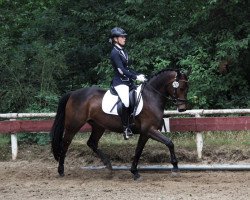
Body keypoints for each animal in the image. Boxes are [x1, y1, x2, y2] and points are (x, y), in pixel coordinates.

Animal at [50, 68, 188, 180]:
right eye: (180, 88)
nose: (182, 109)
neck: (151, 96)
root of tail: (73, 93)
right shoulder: (150, 130)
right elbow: (169, 143)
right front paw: (175, 167)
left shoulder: (145, 132)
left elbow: (138, 150)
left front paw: (134, 172)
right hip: (73, 125)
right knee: (65, 143)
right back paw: (61, 171)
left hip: (98, 126)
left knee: (92, 143)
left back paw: (109, 166)